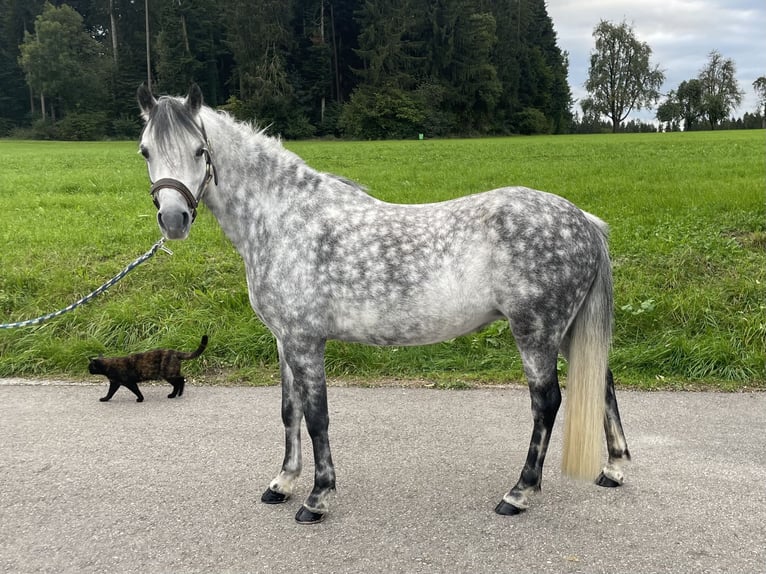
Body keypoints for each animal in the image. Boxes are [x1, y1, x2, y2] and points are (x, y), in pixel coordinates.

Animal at [136, 84, 632, 528]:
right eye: (145, 152)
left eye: (200, 150)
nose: (174, 219)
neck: (284, 219)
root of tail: (585, 221)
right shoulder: (284, 341)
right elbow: (289, 411)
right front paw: (282, 483)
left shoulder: (305, 342)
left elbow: (317, 417)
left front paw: (317, 498)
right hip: (565, 330)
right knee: (602, 382)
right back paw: (614, 469)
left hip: (536, 331)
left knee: (547, 402)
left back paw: (519, 493)